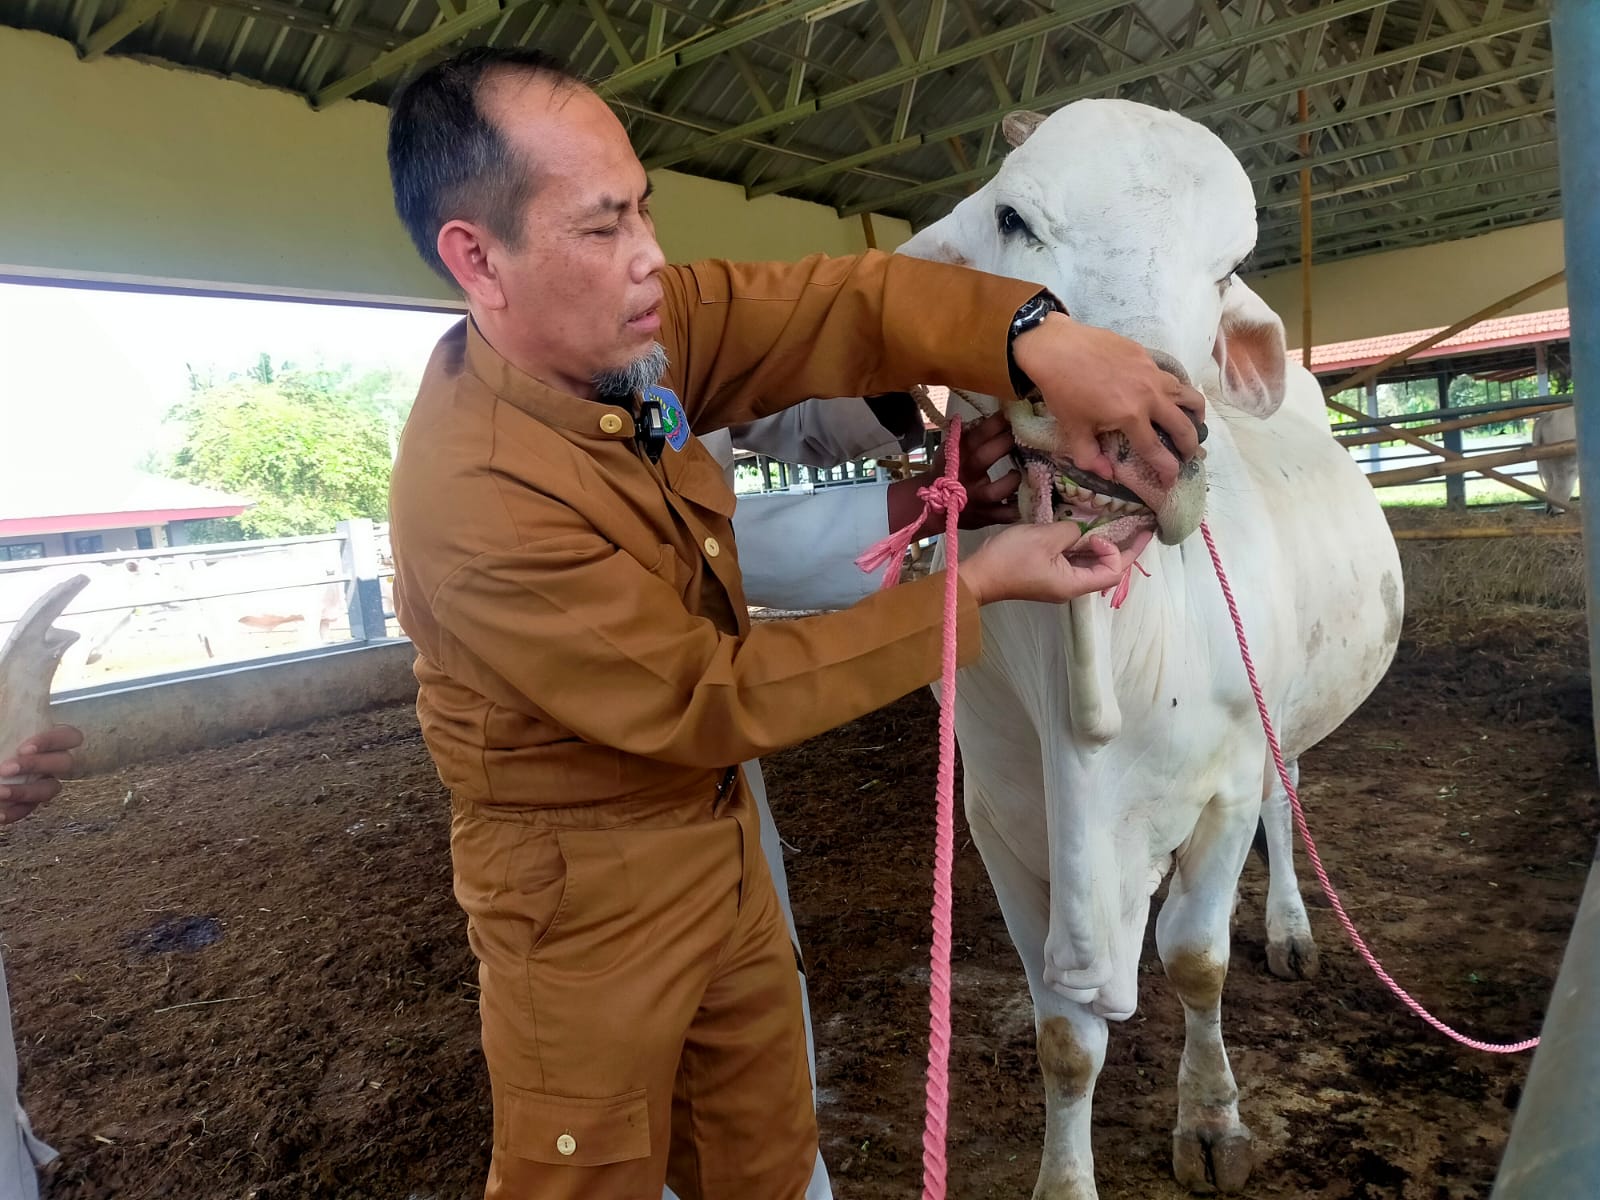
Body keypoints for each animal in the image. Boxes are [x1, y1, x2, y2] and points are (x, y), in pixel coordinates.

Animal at [902, 98, 1401, 1196]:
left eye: (1226, 268)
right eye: (1011, 218)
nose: (1138, 430)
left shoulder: (1223, 785)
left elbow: (1194, 960)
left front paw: (1211, 1119)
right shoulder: (1000, 819)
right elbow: (1064, 1034)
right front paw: (1064, 1175)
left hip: (1278, 722)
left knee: (1282, 806)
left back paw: (1291, 929)